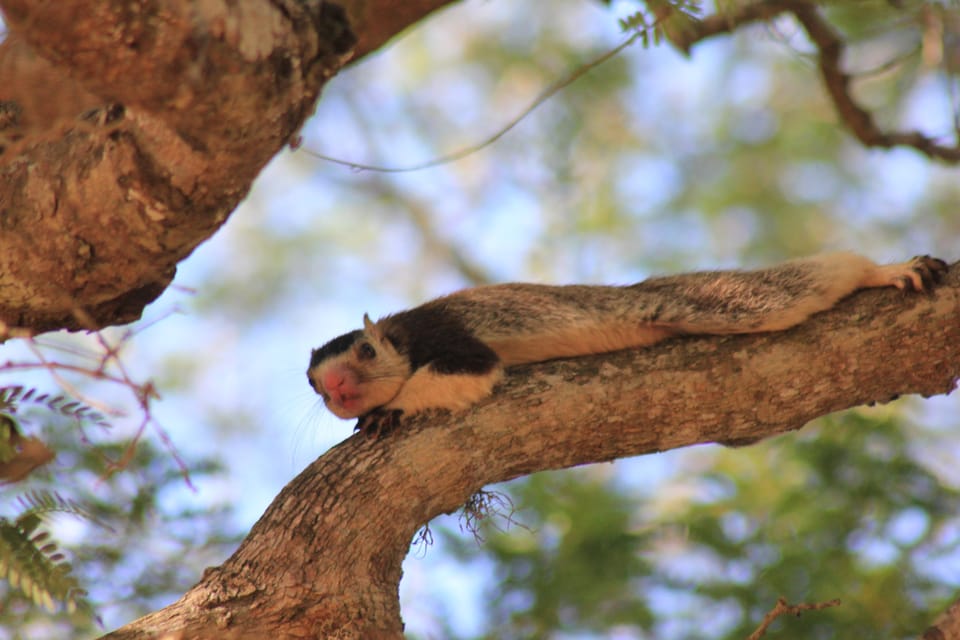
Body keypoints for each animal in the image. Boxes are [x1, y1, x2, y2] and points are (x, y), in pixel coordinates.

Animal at [308, 251, 944, 436]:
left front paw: (388, 410)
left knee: (795, 287)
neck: (402, 337)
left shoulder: (447, 335)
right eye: (314, 386)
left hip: (711, 302)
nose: (335, 390)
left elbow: (469, 371)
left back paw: (882, 271)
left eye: (365, 353)